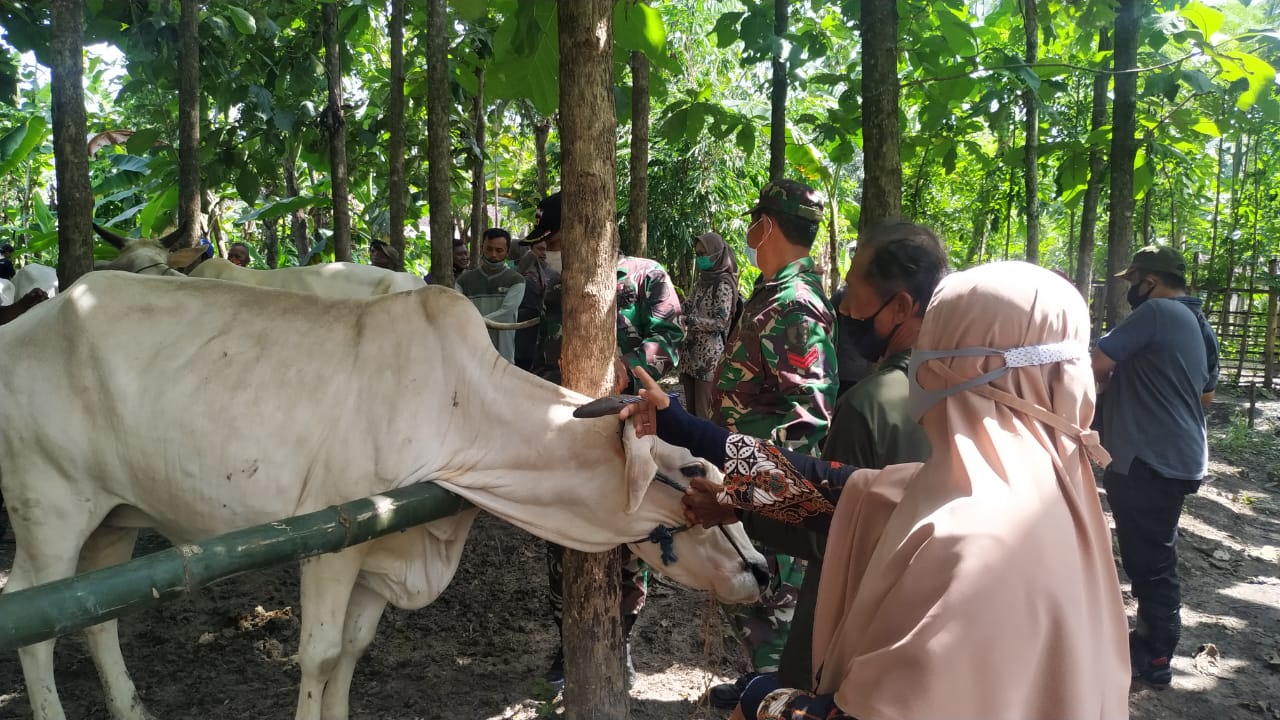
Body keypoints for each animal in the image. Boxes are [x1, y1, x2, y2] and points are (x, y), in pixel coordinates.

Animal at [0, 269, 762, 717]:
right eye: (692, 474)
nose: (761, 570)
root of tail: (25, 321)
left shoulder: (383, 553)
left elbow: (353, 651)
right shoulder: (331, 544)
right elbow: (317, 654)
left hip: (115, 517)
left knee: (96, 616)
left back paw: (131, 707)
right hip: (50, 509)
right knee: (30, 614)